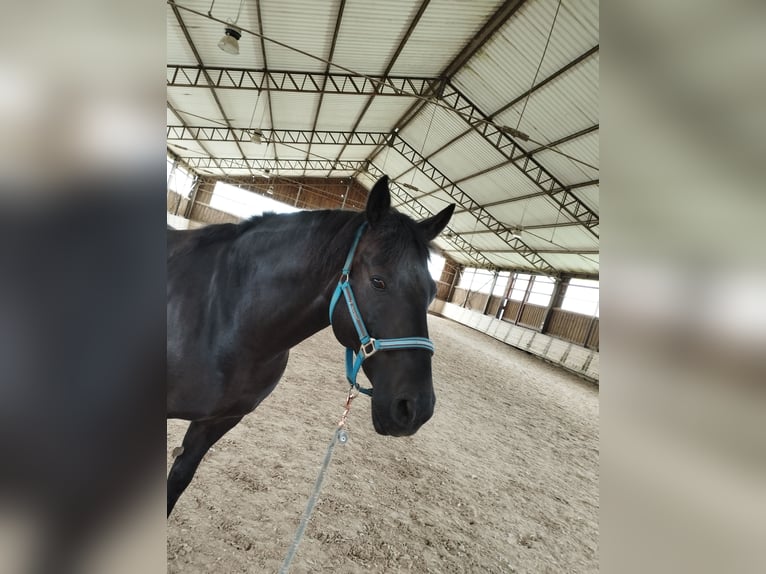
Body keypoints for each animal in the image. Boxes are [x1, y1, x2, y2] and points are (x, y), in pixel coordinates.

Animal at [168, 177, 456, 516]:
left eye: (433, 291)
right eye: (378, 281)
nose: (416, 408)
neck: (223, 314)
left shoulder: (216, 422)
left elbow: (176, 482)